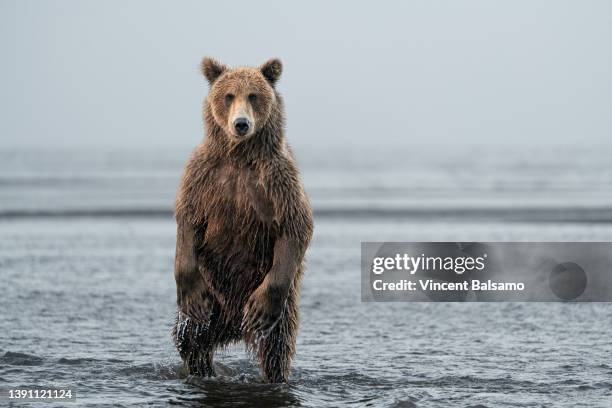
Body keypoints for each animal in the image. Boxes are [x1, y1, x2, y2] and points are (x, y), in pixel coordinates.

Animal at [173, 56, 314, 382]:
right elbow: (188, 219)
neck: (239, 156)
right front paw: (191, 296)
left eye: (253, 95)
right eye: (228, 95)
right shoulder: (203, 175)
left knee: (276, 348)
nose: (241, 124)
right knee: (190, 339)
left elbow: (295, 226)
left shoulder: (278, 180)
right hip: (212, 293)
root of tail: (233, 327)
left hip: (280, 307)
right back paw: (202, 369)